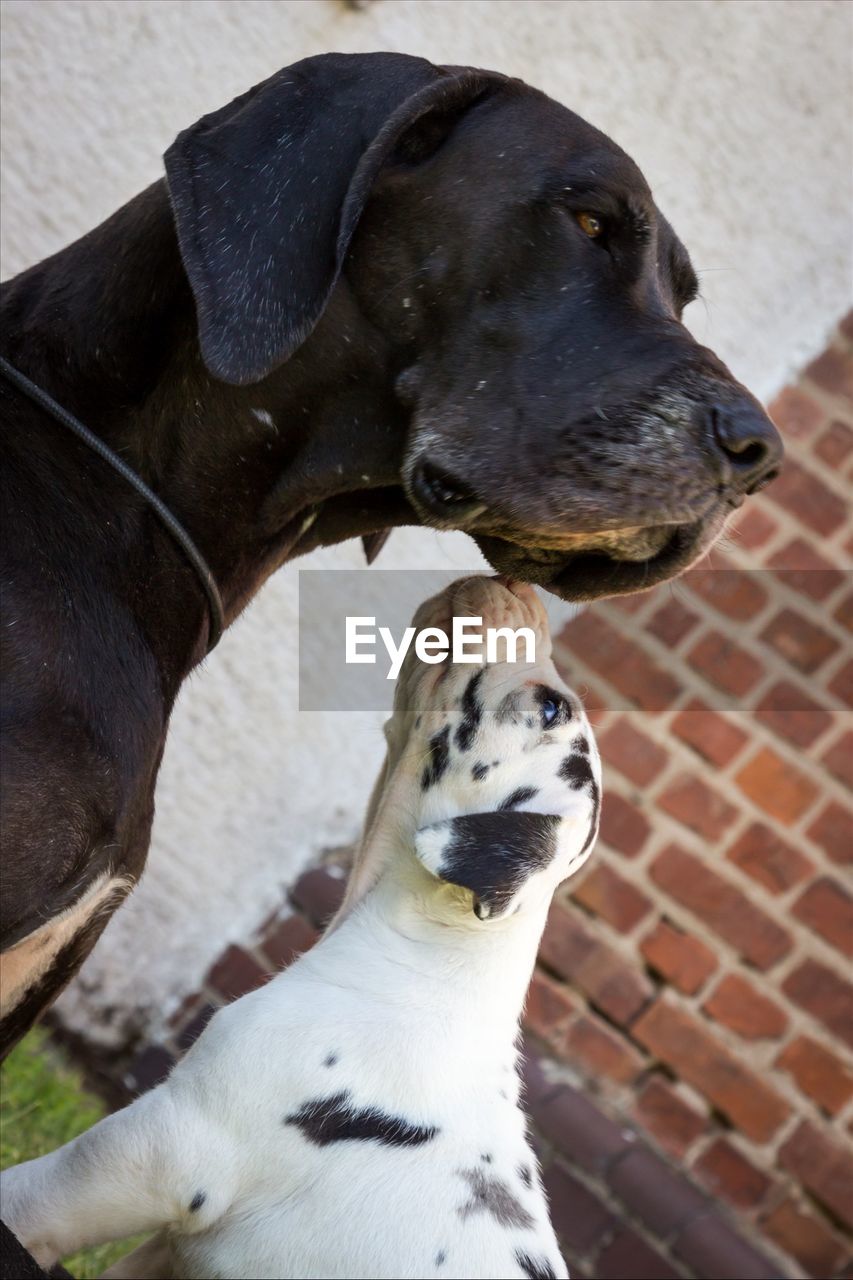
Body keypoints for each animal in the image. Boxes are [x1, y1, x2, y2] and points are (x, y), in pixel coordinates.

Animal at [0, 581, 596, 1280]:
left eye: (552, 707)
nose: (523, 590)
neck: (431, 957)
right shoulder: (171, 1251)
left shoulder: (161, 1145)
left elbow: (22, 1197)